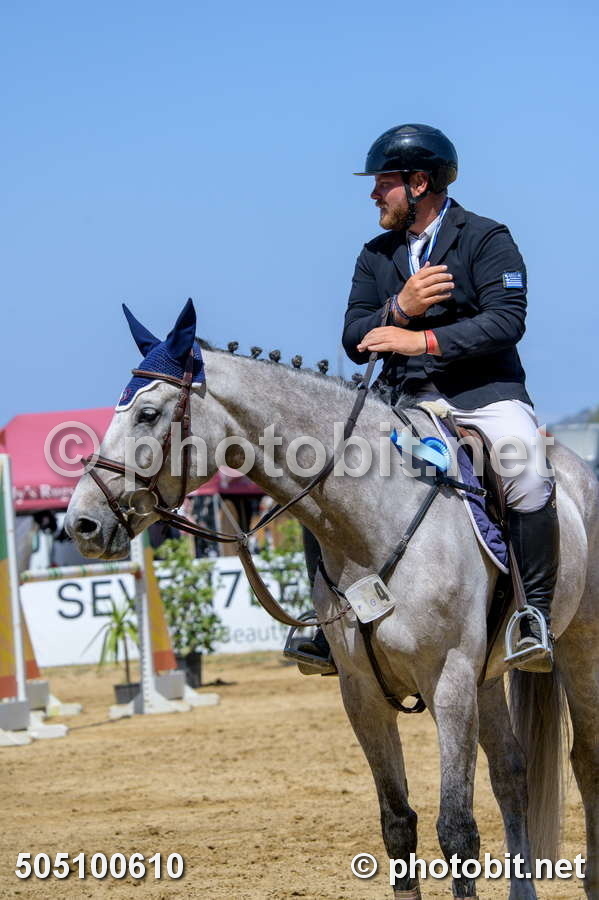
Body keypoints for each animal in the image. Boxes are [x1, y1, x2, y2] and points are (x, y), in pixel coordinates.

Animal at [65, 300, 599, 899]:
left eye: (148, 414)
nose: (81, 524)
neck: (373, 519)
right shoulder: (363, 693)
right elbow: (398, 824)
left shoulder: (448, 680)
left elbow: (457, 829)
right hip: (485, 676)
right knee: (511, 772)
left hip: (575, 649)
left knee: (586, 761)